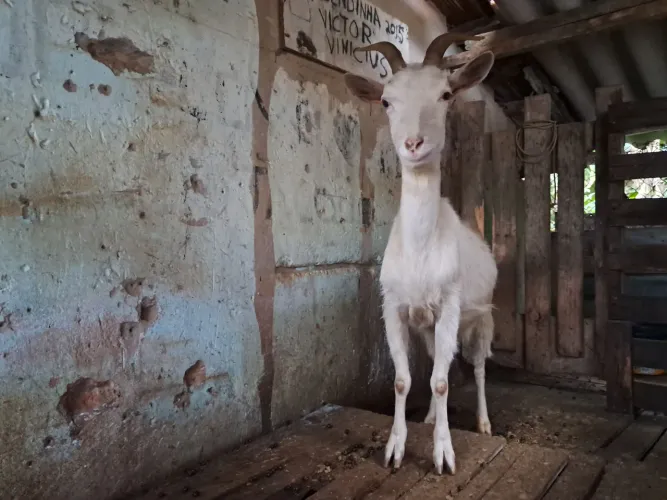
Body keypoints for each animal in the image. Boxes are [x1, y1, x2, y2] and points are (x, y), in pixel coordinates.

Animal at [344, 35, 498, 475]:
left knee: (479, 367)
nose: (413, 144)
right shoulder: (394, 307)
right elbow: (406, 379)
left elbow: (444, 381)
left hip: (483, 319)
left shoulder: (449, 305)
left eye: (445, 94)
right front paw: (395, 449)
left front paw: (443, 454)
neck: (419, 251)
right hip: (430, 327)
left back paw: (484, 423)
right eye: (386, 101)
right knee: (437, 363)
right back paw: (430, 416)